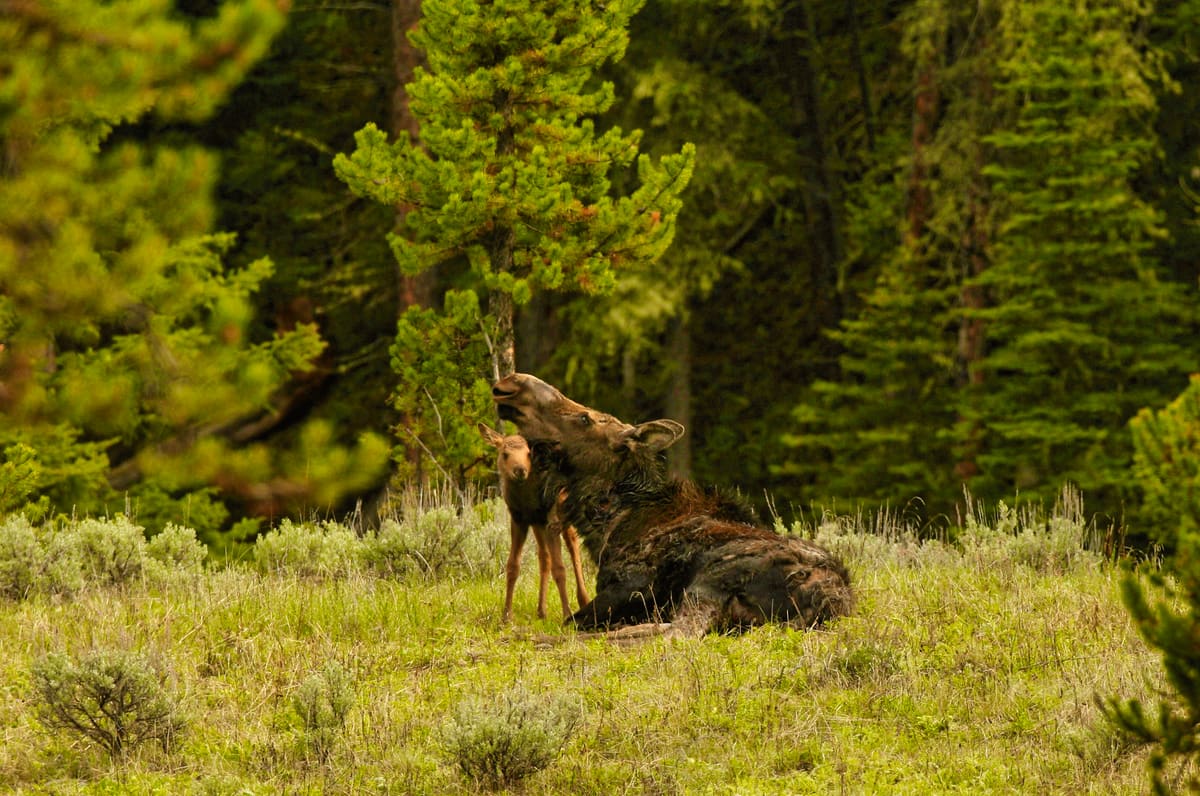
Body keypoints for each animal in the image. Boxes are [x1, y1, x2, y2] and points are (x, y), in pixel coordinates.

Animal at [479, 423, 590, 623]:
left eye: (528, 453)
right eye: (504, 453)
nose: (520, 470)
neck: (527, 500)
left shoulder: (551, 520)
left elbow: (560, 569)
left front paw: (567, 615)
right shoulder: (519, 520)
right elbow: (512, 566)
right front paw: (506, 616)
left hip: (565, 515)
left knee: (574, 549)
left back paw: (583, 600)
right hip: (538, 524)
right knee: (544, 558)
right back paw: (541, 610)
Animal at [490, 373, 853, 639]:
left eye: (585, 418)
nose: (512, 384)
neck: (608, 524)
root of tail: (830, 602)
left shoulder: (629, 587)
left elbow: (572, 622)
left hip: (710, 579)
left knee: (673, 634)